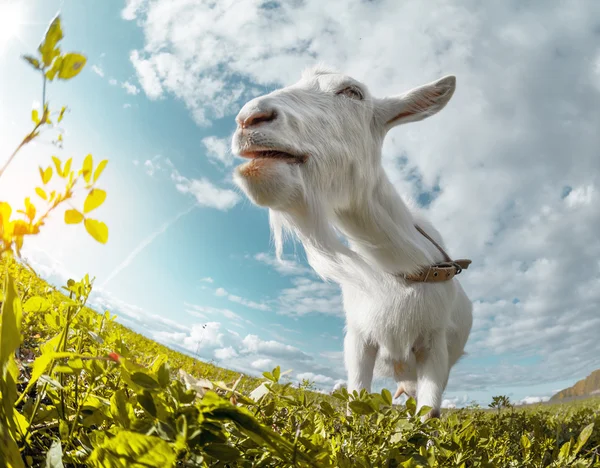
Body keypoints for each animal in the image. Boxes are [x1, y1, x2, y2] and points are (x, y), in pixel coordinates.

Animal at [232, 64, 472, 418]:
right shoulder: (360, 338)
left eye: (353, 92)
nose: (248, 118)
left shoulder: (434, 346)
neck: (403, 267)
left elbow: (428, 414)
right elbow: (356, 400)